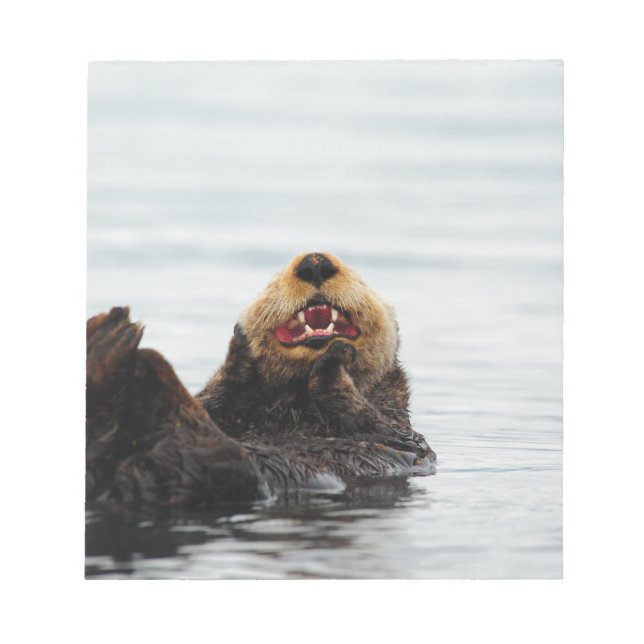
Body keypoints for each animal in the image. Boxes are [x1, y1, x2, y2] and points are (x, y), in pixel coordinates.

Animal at [86, 252, 435, 508]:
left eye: (361, 280)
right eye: (272, 283)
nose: (315, 262)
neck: (298, 410)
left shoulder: (402, 434)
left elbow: (377, 425)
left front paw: (334, 360)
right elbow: (214, 398)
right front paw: (241, 343)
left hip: (217, 466)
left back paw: (112, 341)